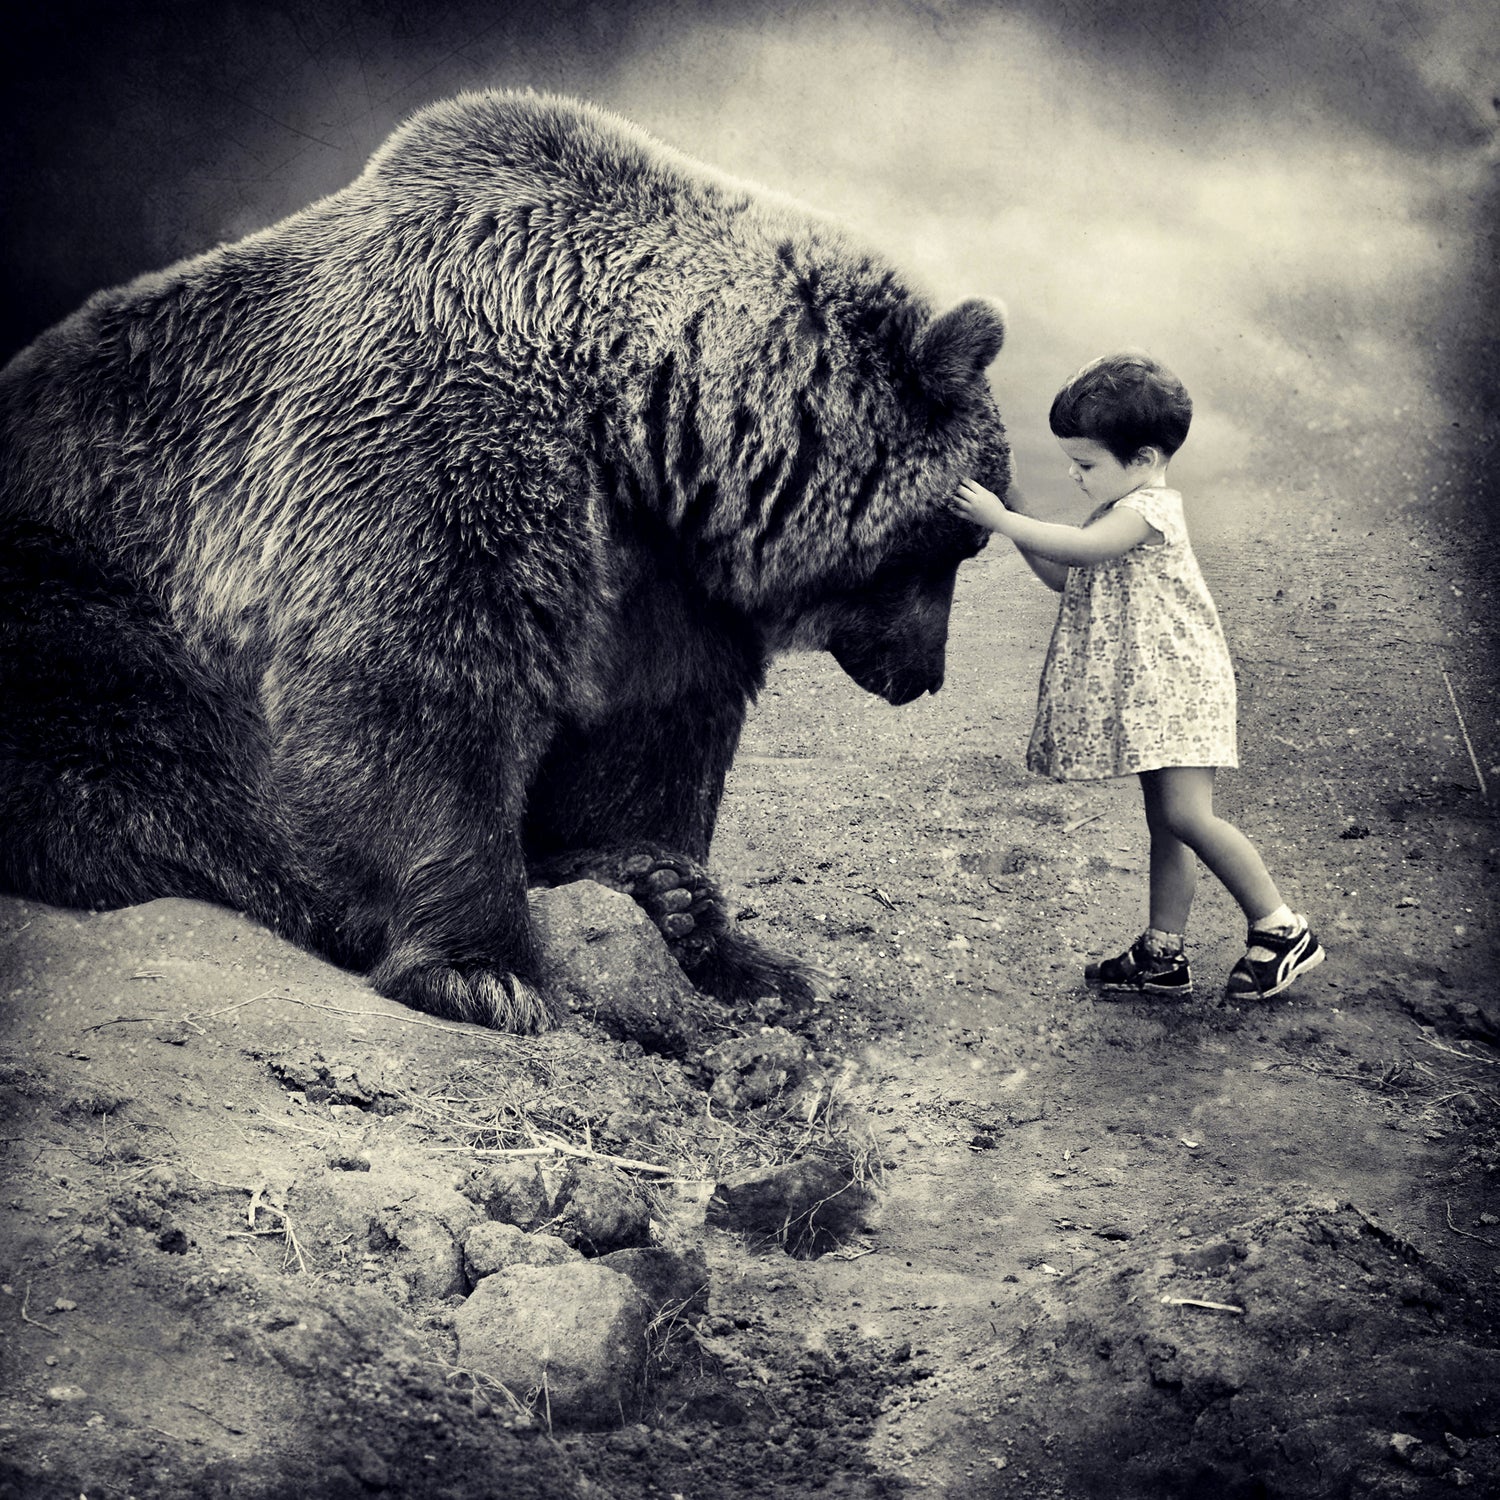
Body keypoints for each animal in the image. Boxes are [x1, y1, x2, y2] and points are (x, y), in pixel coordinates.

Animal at [0, 90, 1010, 1033]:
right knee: (157, 757)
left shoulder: (657, 570)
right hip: (88, 580)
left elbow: (655, 732)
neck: (633, 412)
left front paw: (708, 925)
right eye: (959, 541)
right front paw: (484, 969)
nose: (923, 674)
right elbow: (422, 688)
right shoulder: (432, 439)